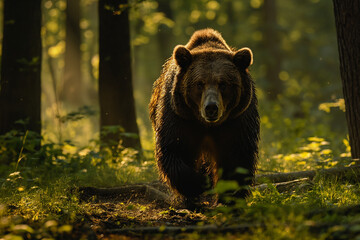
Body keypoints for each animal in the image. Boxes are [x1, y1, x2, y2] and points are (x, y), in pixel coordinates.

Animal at [149, 28, 258, 204]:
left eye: (223, 83)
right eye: (199, 83)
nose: (211, 107)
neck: (208, 125)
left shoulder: (236, 121)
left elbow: (236, 157)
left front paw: (229, 198)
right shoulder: (180, 117)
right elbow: (174, 149)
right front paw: (199, 184)